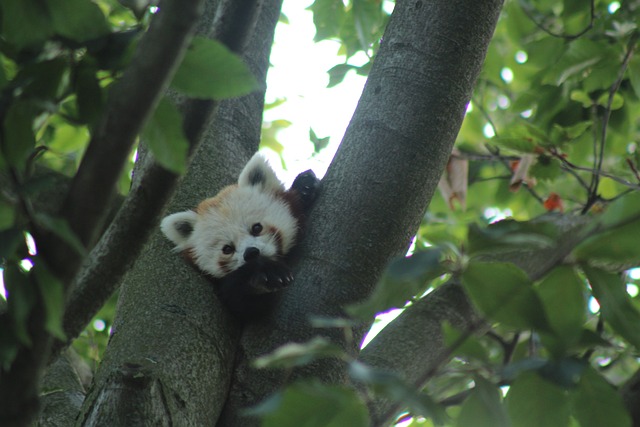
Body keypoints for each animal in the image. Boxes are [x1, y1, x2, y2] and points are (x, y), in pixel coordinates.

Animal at [161, 154, 318, 320]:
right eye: (227, 248)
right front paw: (267, 271)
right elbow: (242, 301)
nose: (251, 253)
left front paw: (305, 186)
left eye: (257, 228)